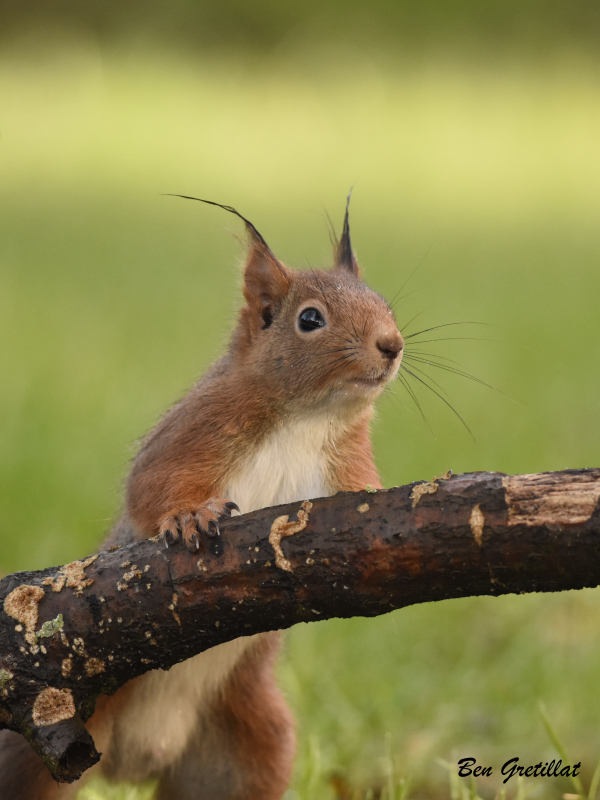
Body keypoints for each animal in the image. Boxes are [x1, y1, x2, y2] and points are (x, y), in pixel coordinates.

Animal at [0, 195, 406, 800]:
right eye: (310, 319)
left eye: (384, 303)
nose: (393, 346)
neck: (305, 418)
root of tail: (133, 759)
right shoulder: (191, 433)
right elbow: (149, 489)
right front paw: (190, 515)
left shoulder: (346, 458)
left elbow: (361, 488)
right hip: (27, 754)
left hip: (250, 748)